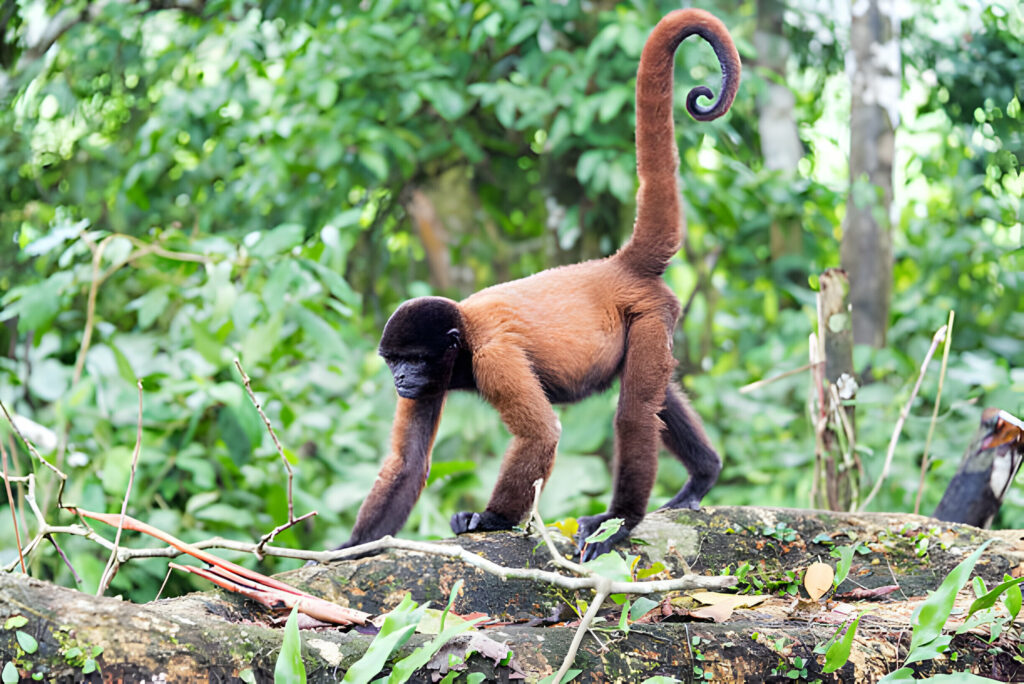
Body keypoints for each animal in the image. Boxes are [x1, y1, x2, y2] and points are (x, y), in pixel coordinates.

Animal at [335, 6, 737, 561]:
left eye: (413, 358)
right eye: (394, 362)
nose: (400, 380)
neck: (462, 339)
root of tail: (617, 264)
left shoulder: (493, 357)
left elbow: (541, 435)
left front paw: (490, 519)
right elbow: (408, 463)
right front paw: (347, 549)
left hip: (650, 313)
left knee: (634, 412)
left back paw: (618, 521)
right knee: (658, 399)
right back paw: (703, 476)